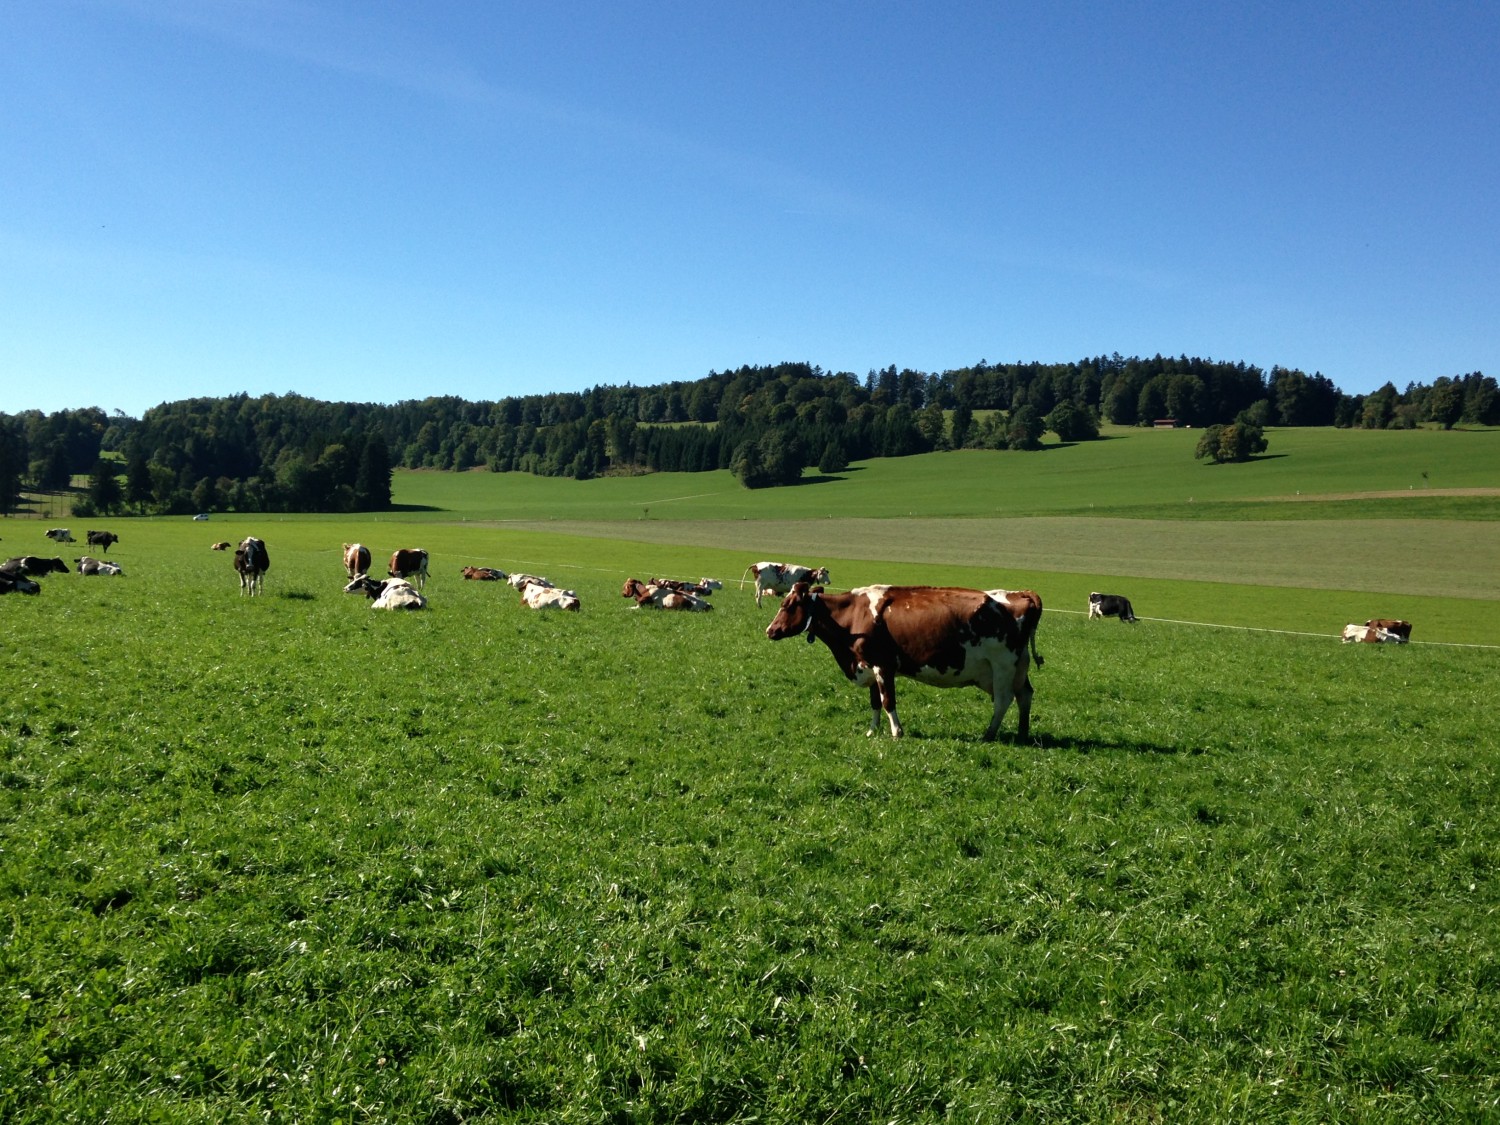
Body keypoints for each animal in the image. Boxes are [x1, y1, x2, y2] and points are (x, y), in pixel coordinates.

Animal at [762, 585, 1044, 744]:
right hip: (1017, 667)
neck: (853, 616)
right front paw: (872, 731)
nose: (770, 630)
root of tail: (1022, 594)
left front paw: (896, 732)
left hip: (1002, 666)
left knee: (1003, 700)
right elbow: (875, 702)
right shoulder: (868, 665)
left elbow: (888, 701)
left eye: (787, 605)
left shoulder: (882, 665)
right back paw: (1022, 733)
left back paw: (989, 734)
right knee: (1025, 695)